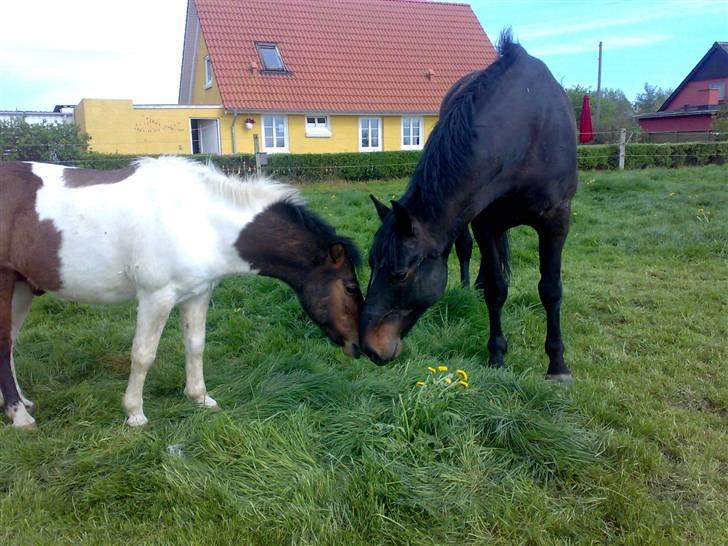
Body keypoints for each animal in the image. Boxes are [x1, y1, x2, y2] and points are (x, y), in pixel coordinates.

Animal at [362, 31, 576, 380]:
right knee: (467, 250)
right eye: (370, 264)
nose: (368, 347)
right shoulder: (485, 222)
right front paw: (497, 355)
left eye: (400, 274)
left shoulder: (556, 220)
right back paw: (467, 285)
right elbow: (496, 289)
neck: (527, 130)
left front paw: (557, 365)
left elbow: (551, 289)